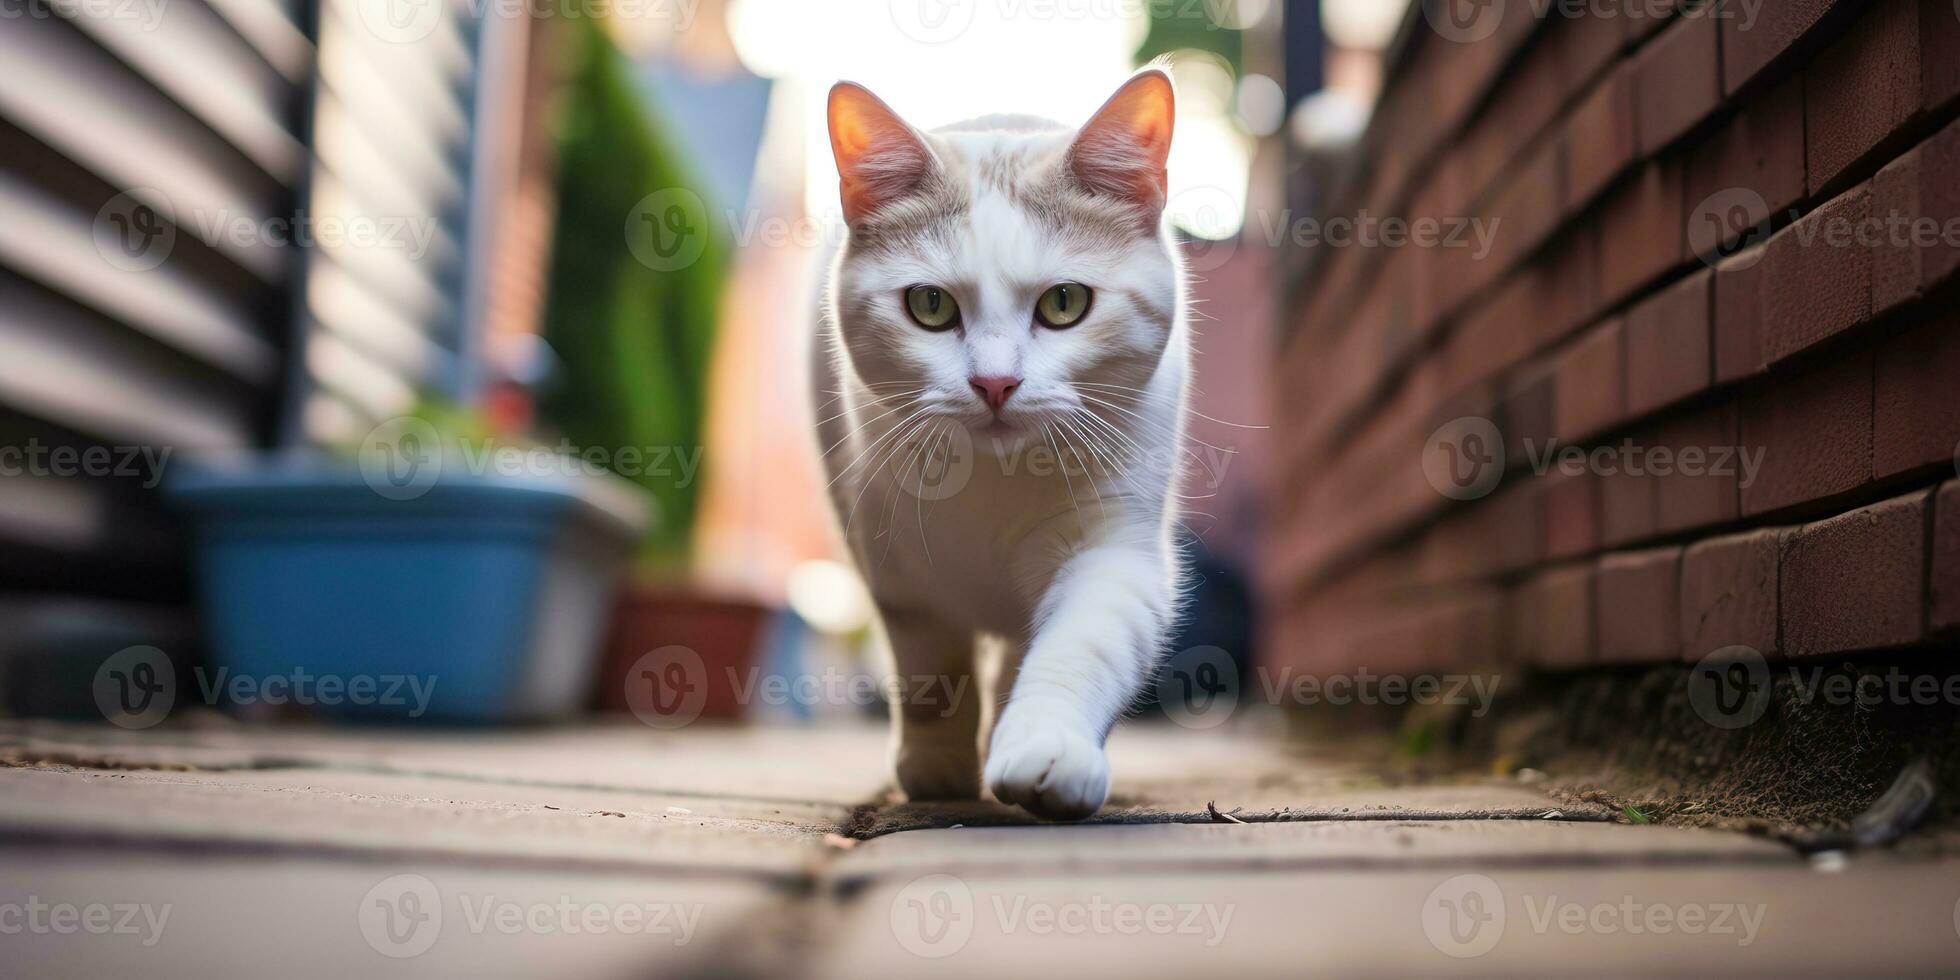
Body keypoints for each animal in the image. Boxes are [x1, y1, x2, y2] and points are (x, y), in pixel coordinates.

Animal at [807, 69, 1183, 819]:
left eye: (1065, 303)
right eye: (929, 306)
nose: (995, 383)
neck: (994, 481)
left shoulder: (1113, 547)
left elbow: (1079, 646)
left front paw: (1044, 750)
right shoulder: (896, 573)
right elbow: (932, 679)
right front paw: (937, 765)